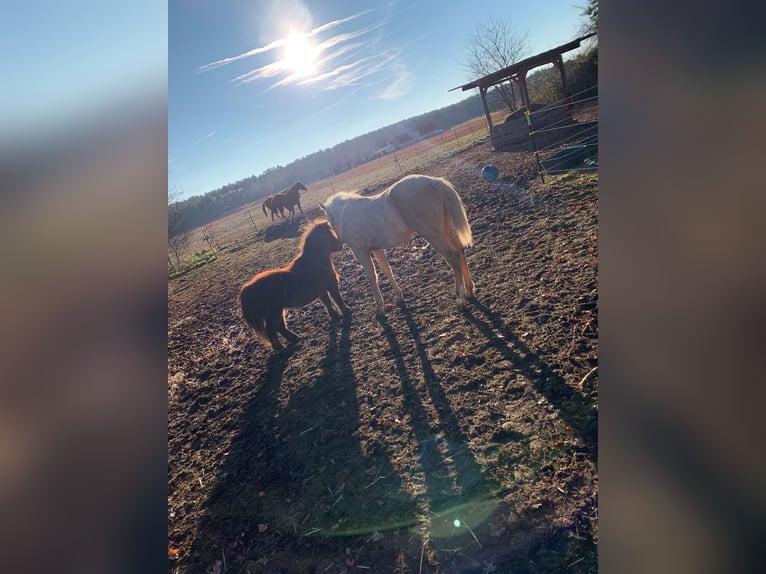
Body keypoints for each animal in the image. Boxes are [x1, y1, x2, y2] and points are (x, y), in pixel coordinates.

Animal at [237, 218, 352, 352]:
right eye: (329, 234)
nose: (340, 244)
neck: (316, 261)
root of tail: (247, 288)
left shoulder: (322, 291)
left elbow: (328, 303)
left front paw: (334, 316)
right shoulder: (332, 286)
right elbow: (337, 300)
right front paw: (346, 311)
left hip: (277, 312)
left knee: (280, 327)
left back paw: (294, 338)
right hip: (273, 313)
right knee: (271, 330)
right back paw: (280, 348)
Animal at [318, 176, 474, 316]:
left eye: (328, 219)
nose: (339, 243)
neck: (345, 215)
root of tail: (432, 181)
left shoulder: (360, 252)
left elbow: (372, 277)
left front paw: (380, 308)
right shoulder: (377, 249)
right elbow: (386, 270)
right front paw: (399, 297)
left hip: (433, 234)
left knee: (452, 256)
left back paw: (460, 299)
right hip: (445, 229)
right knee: (460, 250)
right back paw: (469, 292)